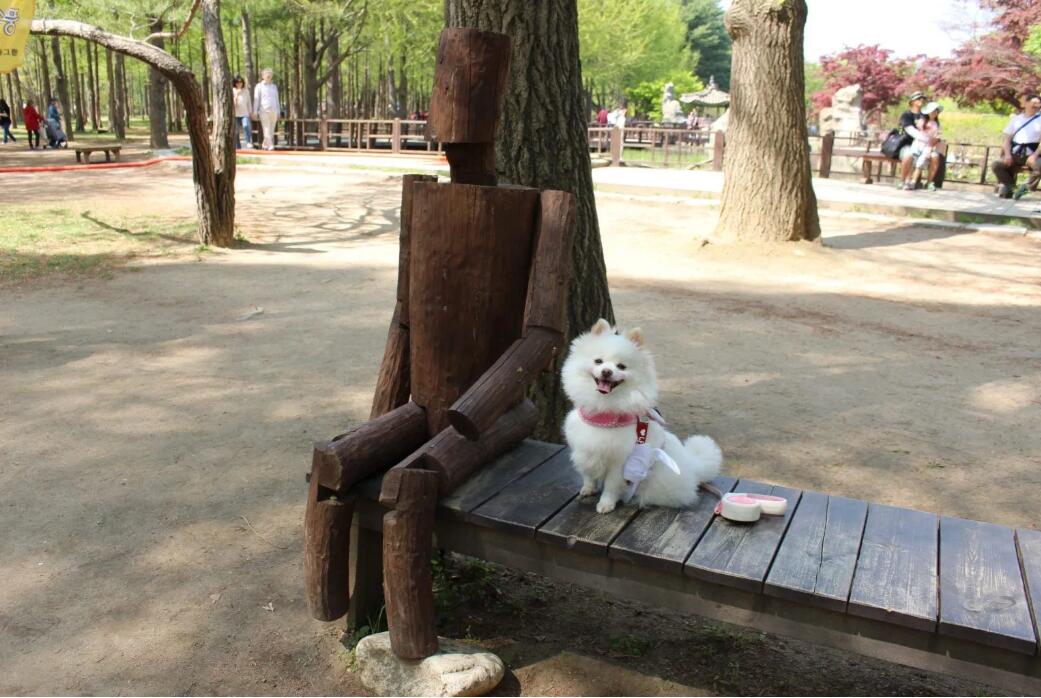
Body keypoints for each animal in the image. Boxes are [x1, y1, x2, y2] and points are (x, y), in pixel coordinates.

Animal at [562, 318, 724, 513]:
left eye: (621, 366)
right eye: (598, 361)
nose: (607, 371)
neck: (604, 415)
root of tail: (692, 466)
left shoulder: (620, 463)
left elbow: (610, 486)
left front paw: (606, 504)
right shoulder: (584, 451)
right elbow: (588, 475)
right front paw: (588, 489)